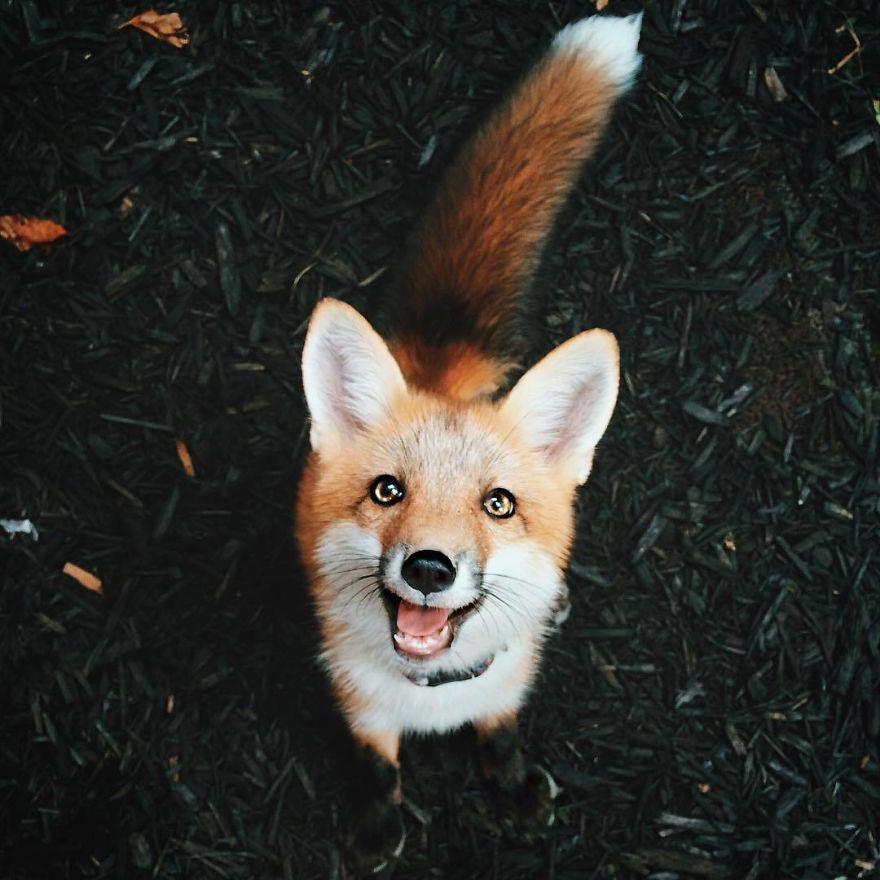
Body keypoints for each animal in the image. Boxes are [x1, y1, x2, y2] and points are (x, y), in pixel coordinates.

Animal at [294, 11, 643, 870]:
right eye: (388, 490)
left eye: (499, 505)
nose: (429, 567)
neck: (434, 694)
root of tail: (442, 357)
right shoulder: (358, 705)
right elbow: (376, 769)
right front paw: (377, 829)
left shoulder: (506, 688)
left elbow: (503, 738)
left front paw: (512, 791)